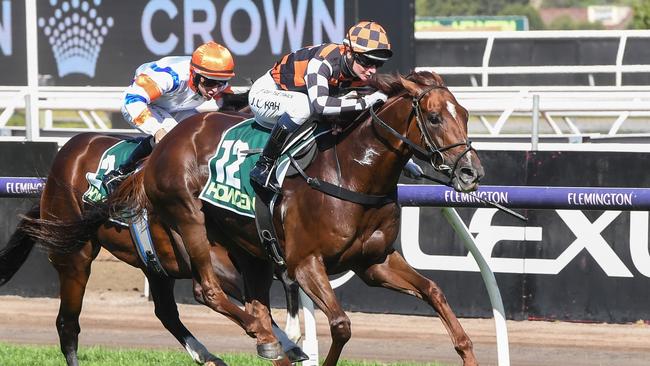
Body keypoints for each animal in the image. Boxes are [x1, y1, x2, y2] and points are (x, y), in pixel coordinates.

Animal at [0, 125, 304, 366]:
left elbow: (277, 287)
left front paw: (289, 342)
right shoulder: (214, 263)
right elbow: (239, 300)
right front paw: (282, 342)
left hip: (153, 264)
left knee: (165, 312)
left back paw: (208, 356)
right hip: (75, 257)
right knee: (67, 324)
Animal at [33, 71, 484, 366]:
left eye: (465, 113)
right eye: (434, 117)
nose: (470, 172)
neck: (350, 170)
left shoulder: (375, 263)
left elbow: (435, 292)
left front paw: (466, 350)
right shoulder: (305, 263)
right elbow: (340, 325)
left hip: (224, 254)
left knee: (190, 308)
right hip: (133, 237)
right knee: (198, 294)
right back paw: (265, 340)